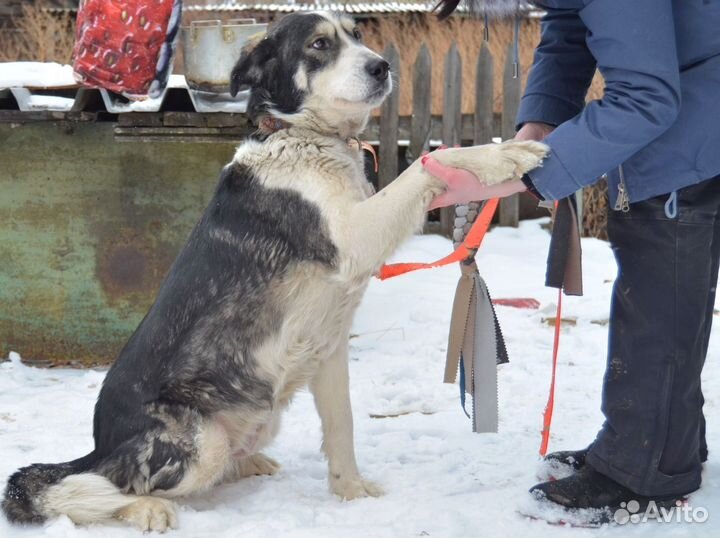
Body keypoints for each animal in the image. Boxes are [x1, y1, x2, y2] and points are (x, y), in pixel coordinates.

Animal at [1, 10, 544, 528]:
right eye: (320, 44)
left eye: (356, 35)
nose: (382, 66)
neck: (304, 135)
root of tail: (100, 447)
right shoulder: (353, 238)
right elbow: (427, 165)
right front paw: (505, 154)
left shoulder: (329, 351)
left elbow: (343, 427)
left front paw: (350, 494)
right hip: (196, 443)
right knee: (95, 490)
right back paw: (143, 509)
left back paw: (249, 463)